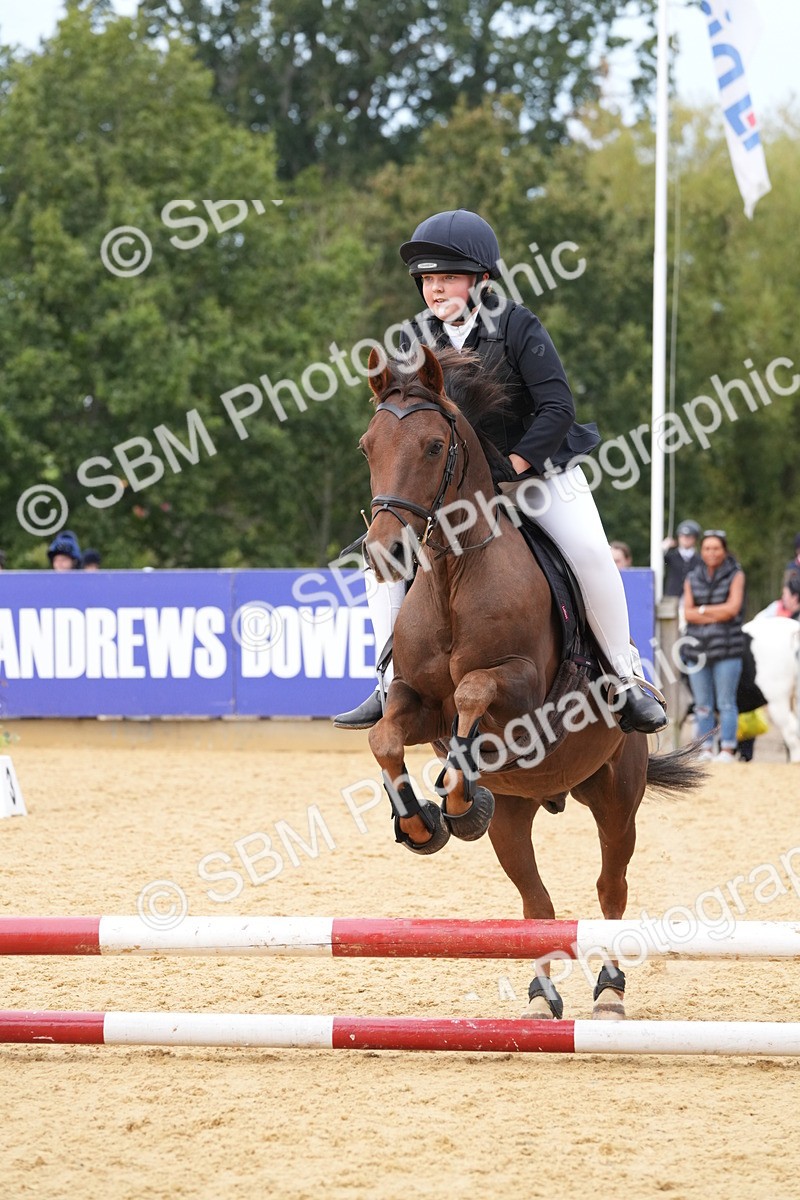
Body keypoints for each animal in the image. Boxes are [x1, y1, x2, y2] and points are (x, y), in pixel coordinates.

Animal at [359, 343, 704, 1020]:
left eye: (434, 447)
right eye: (367, 446)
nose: (387, 551)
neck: (453, 579)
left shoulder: (524, 696)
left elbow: (473, 691)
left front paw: (458, 794)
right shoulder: (417, 702)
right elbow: (385, 737)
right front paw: (424, 821)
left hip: (617, 794)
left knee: (611, 887)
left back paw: (610, 990)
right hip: (518, 817)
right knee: (536, 903)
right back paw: (542, 996)